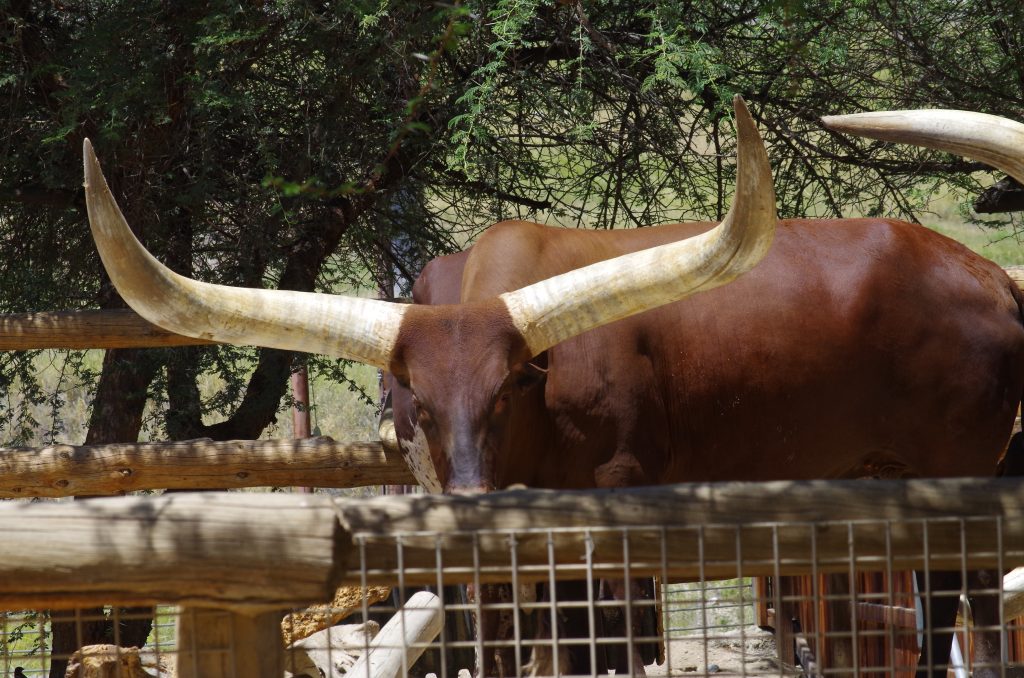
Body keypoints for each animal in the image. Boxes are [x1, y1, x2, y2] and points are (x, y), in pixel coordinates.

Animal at [83, 96, 1024, 678]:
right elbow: (507, 647)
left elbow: (592, 648)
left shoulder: (612, 511)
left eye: (509, 388)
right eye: (415, 404)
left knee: (966, 605)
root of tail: (985, 273)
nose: (468, 498)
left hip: (963, 469)